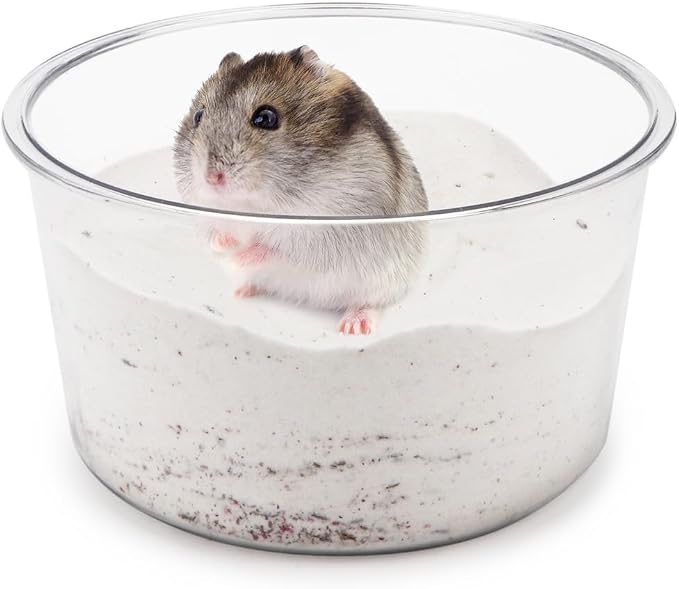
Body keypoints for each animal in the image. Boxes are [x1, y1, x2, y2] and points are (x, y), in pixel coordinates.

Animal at [174, 46, 428, 335]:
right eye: (198, 116)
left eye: (266, 118)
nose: (212, 179)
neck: (252, 204)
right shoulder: (203, 216)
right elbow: (213, 234)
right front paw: (226, 246)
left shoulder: (325, 230)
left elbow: (276, 247)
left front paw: (237, 257)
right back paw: (244, 290)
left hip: (383, 280)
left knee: (370, 302)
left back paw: (353, 326)